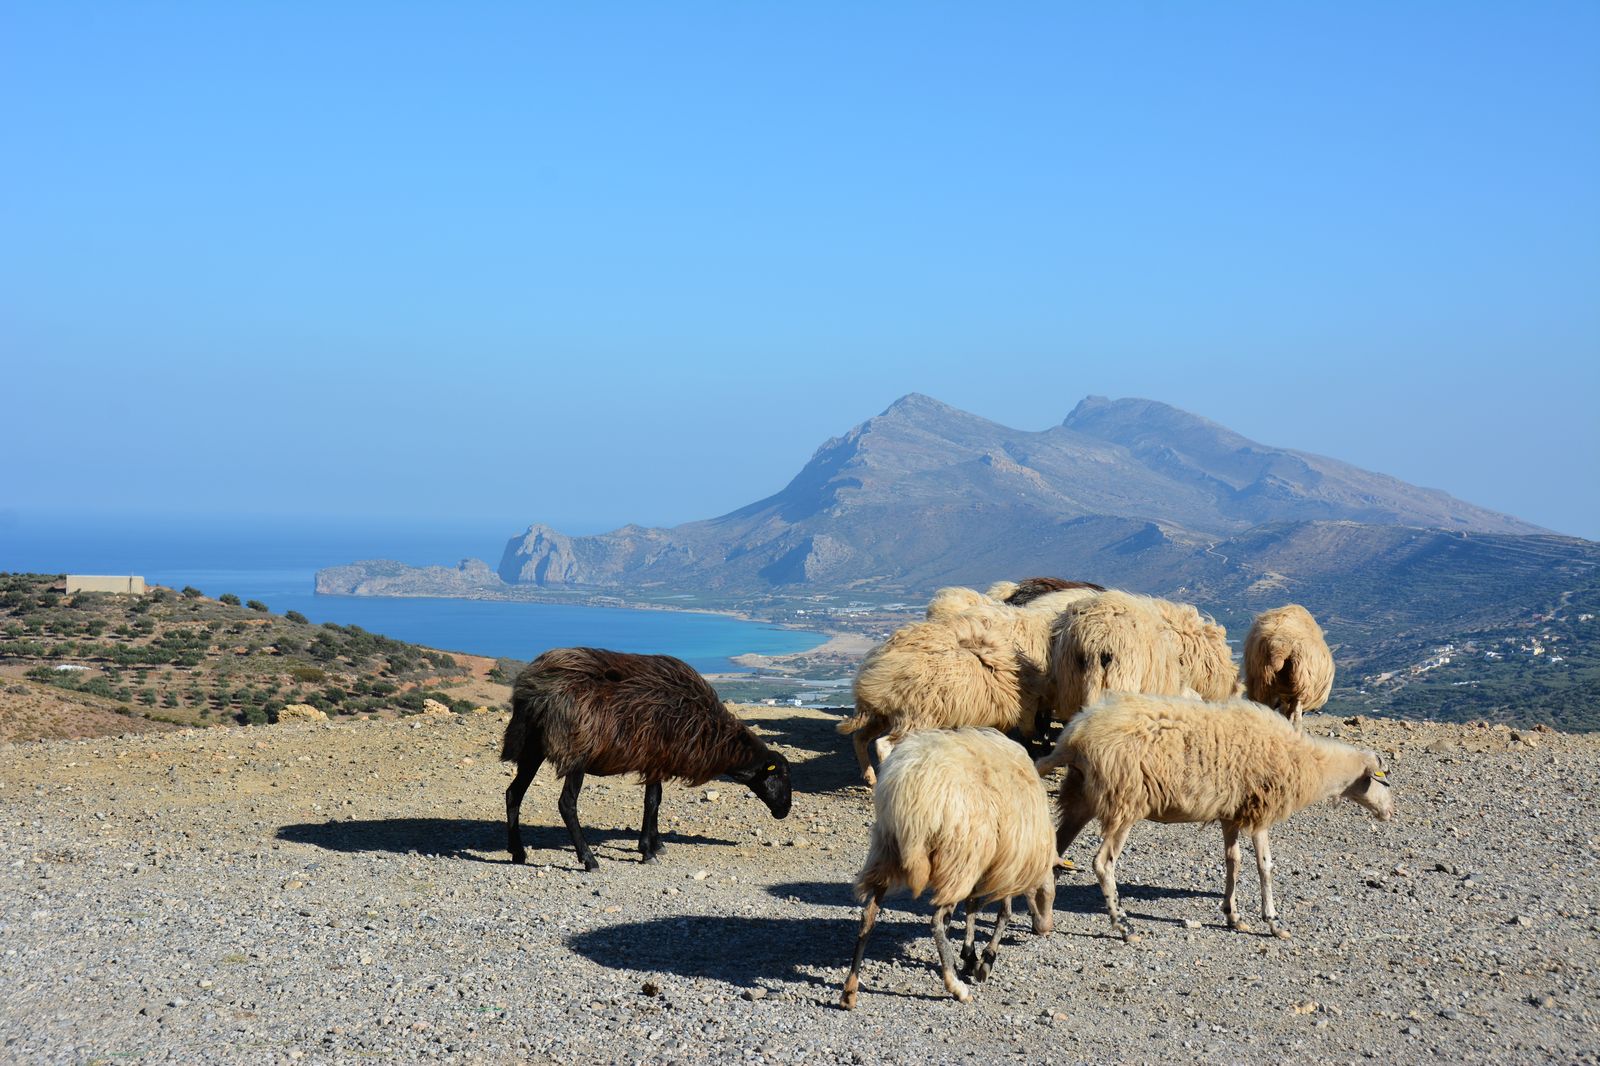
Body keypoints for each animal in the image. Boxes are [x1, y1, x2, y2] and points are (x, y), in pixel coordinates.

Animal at [502, 643, 790, 870]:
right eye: (780, 775)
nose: (784, 811)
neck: (711, 729)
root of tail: (535, 689)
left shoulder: (657, 762)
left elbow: (655, 801)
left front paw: (654, 844)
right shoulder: (656, 759)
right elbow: (652, 802)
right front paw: (648, 852)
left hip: (532, 749)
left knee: (514, 793)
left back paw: (518, 852)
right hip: (576, 754)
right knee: (566, 804)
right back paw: (588, 859)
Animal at [838, 723, 1062, 1005]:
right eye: (1049, 894)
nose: (1045, 930)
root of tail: (908, 789)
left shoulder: (984, 864)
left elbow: (972, 906)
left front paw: (969, 956)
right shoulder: (1006, 866)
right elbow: (1003, 913)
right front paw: (985, 961)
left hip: (888, 853)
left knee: (868, 916)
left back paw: (849, 991)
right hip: (957, 860)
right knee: (936, 921)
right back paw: (956, 987)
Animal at [1043, 694, 1395, 934]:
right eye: (1384, 780)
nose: (1389, 813)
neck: (1310, 762)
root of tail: (1074, 738)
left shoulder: (1232, 813)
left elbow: (1233, 862)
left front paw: (1232, 915)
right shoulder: (1260, 812)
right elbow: (1265, 866)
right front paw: (1273, 920)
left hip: (1081, 798)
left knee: (1053, 851)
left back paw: (1041, 918)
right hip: (1123, 803)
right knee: (1103, 863)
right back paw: (1122, 924)